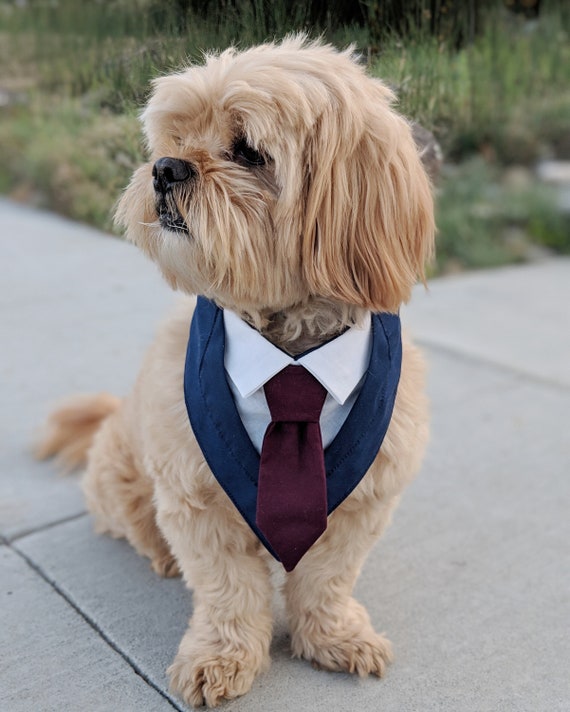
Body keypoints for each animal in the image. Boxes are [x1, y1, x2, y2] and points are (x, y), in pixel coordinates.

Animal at [37, 37, 432, 708]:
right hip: (125, 474)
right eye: (174, 137)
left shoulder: (363, 504)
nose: (165, 168)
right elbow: (228, 591)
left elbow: (327, 578)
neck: (290, 348)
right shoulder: (197, 500)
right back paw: (160, 555)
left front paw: (332, 637)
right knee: (136, 524)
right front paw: (221, 657)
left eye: (248, 151)